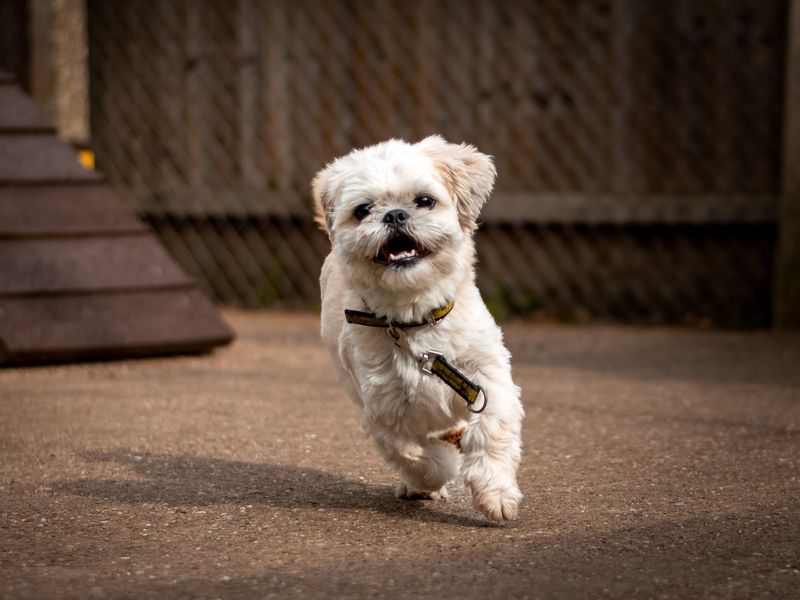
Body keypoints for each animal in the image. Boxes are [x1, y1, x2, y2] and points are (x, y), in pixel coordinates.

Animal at [312, 135, 524, 520]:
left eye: (424, 200)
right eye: (363, 210)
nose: (394, 214)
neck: (415, 319)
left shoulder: (487, 379)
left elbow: (491, 432)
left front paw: (496, 495)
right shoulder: (383, 412)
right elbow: (420, 458)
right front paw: (437, 475)